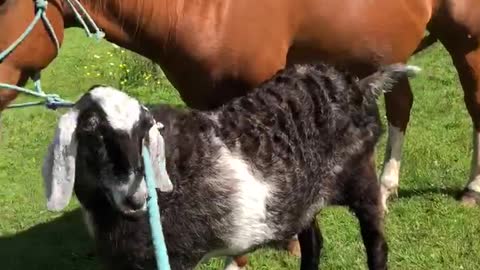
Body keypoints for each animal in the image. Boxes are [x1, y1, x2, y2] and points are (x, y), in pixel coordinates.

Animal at [42, 62, 420, 270]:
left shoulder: (173, 259)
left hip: (361, 176)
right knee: (313, 242)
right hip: (303, 200)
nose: (135, 198)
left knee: (376, 243)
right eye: (91, 132)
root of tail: (359, 85)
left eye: (143, 131)